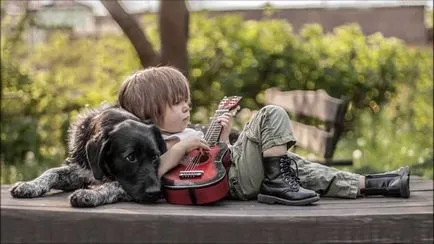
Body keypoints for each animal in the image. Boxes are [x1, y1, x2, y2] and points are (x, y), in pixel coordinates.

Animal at [10, 105, 166, 208]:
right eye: (131, 157)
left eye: (155, 157)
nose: (156, 192)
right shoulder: (79, 171)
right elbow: (51, 172)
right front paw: (30, 185)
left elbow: (112, 184)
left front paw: (89, 194)